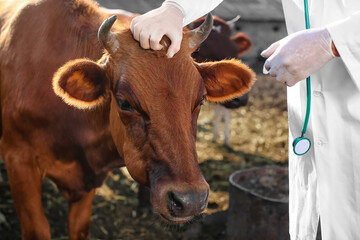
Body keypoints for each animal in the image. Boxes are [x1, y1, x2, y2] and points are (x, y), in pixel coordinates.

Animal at [0, 0, 256, 239]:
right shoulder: (19, 161)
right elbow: (38, 229)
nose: (189, 199)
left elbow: (79, 228)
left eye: (201, 99)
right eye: (124, 103)